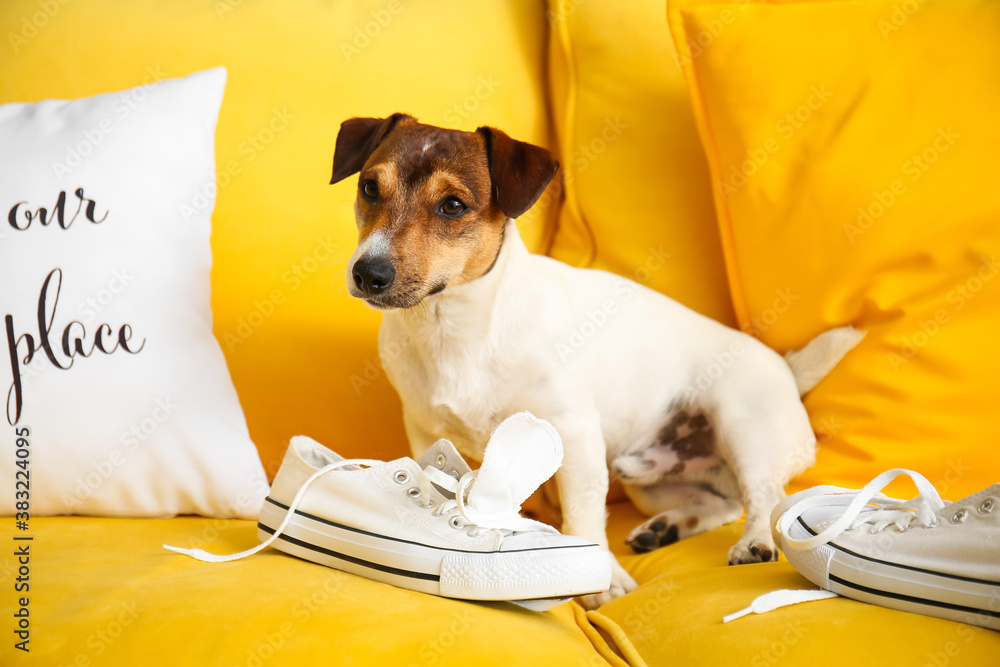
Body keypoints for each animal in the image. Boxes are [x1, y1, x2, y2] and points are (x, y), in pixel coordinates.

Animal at [332, 115, 864, 612]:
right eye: (370, 187)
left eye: (453, 205)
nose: (368, 273)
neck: (455, 329)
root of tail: (789, 370)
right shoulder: (426, 433)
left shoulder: (574, 434)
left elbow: (583, 516)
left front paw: (600, 581)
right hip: (647, 478)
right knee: (721, 502)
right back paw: (668, 527)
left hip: (745, 431)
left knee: (763, 498)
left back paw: (753, 543)